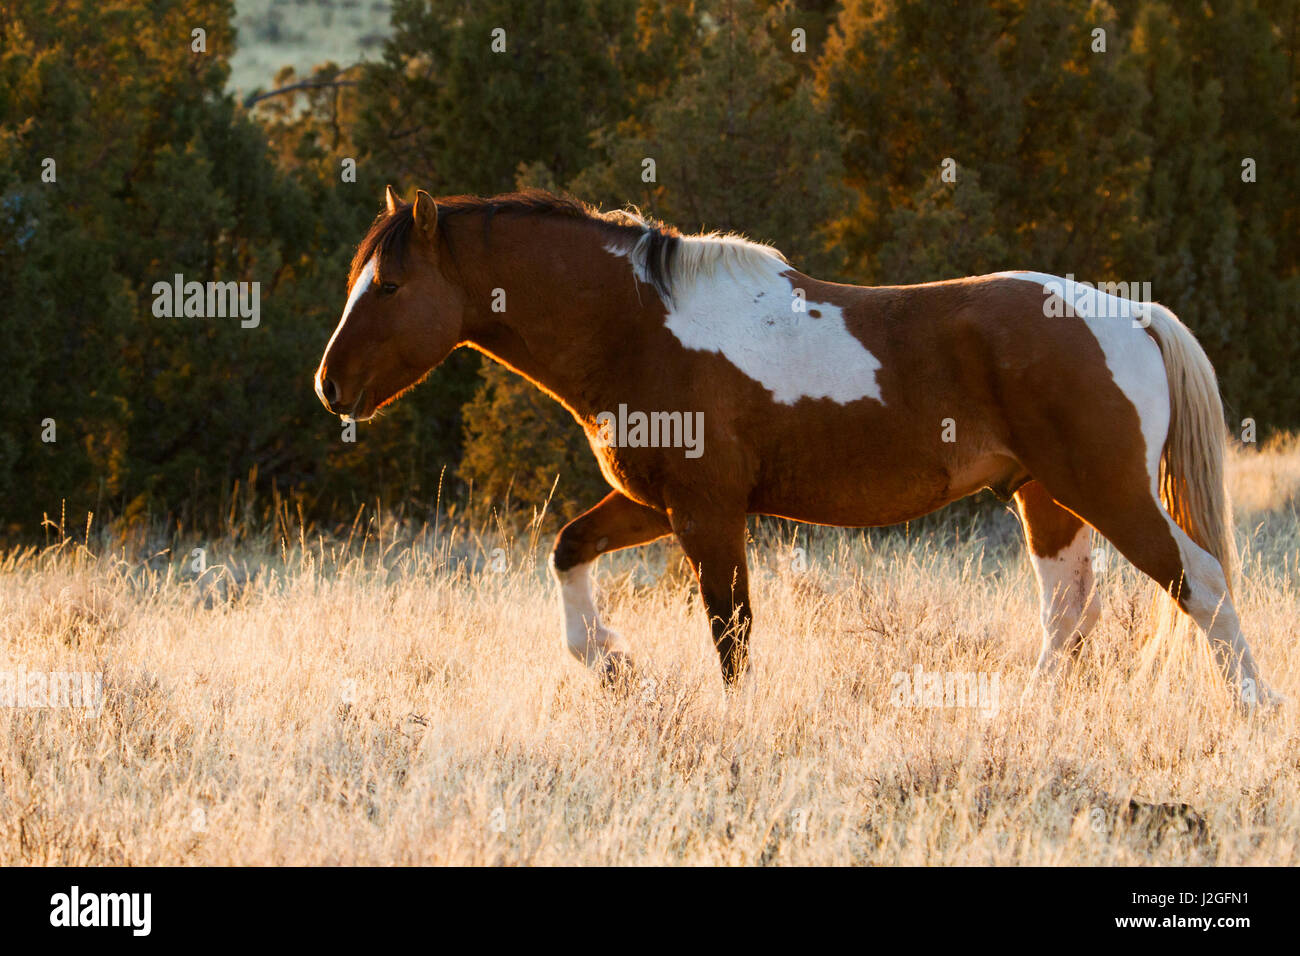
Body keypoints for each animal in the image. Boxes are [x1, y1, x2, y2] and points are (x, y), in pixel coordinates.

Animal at [315, 185, 1276, 709]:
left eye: (389, 285)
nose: (330, 386)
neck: (639, 327)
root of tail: (1133, 314)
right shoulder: (655, 504)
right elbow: (567, 549)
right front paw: (613, 665)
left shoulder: (707, 514)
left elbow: (731, 634)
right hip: (1047, 498)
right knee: (1069, 612)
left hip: (1107, 491)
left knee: (1199, 583)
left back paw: (1256, 706)